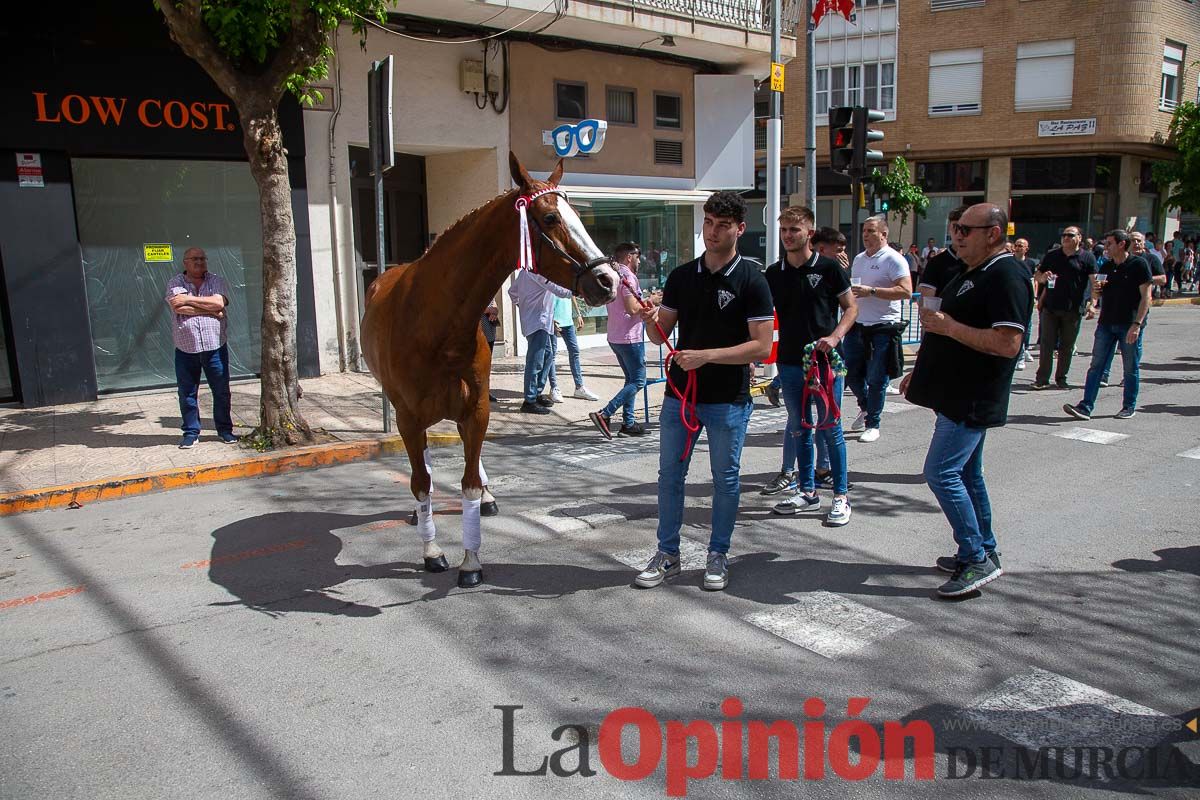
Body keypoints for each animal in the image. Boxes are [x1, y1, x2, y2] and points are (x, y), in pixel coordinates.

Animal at [360, 153, 614, 587]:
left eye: (578, 214)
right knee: (424, 468)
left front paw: (471, 561)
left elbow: (469, 484)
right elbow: (422, 482)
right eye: (549, 218)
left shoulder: (477, 409)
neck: (436, 324)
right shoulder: (409, 417)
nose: (608, 279)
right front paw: (432, 551)